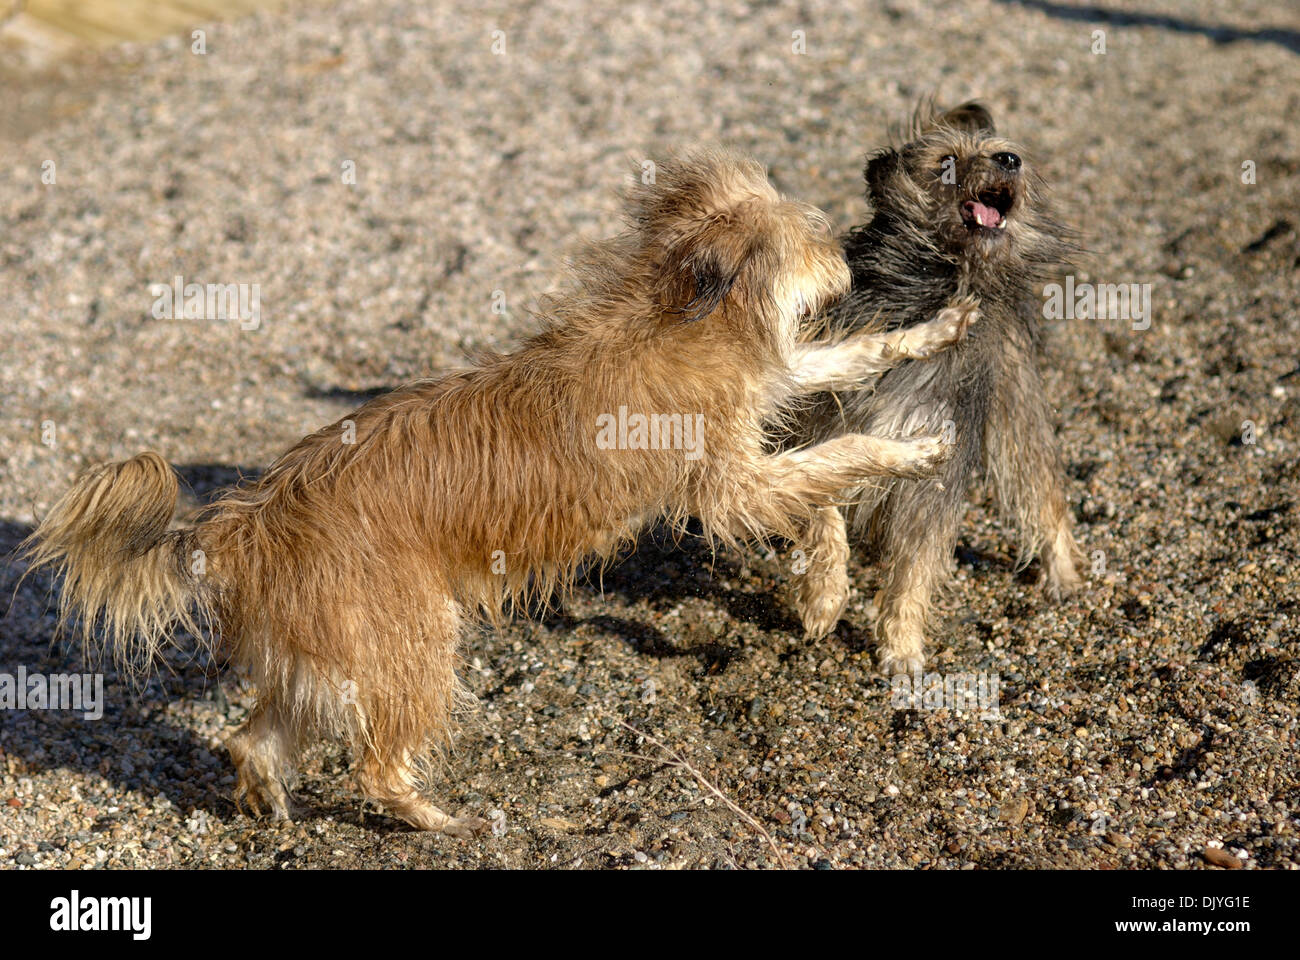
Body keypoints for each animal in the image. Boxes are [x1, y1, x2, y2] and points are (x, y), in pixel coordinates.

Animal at [22, 147, 977, 832]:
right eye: (814, 236)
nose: (848, 252)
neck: (681, 314)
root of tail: (240, 526)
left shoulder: (769, 400)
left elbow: (841, 385)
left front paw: (934, 329)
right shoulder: (731, 483)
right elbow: (836, 463)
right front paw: (909, 455)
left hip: (329, 652)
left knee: (253, 737)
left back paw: (272, 805)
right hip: (411, 640)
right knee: (374, 763)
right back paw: (440, 821)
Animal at [790, 100, 1086, 671]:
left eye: (1001, 151)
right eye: (946, 160)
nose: (1011, 159)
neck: (938, 287)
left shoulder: (934, 470)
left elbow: (915, 568)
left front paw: (902, 645)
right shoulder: (815, 425)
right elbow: (822, 516)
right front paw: (824, 596)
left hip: (1017, 419)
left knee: (1044, 499)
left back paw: (1064, 575)